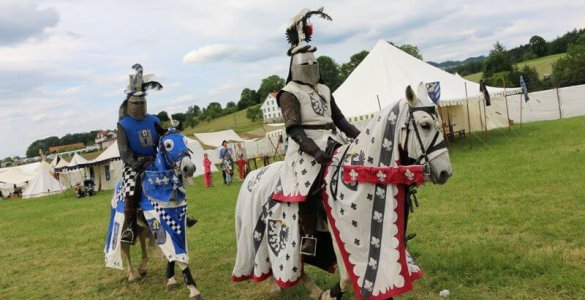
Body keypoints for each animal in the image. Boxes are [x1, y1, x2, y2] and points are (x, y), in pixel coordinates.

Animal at [233, 83, 452, 298]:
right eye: (425, 125)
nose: (445, 172)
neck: (361, 172)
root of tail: (253, 175)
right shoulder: (339, 230)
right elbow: (347, 277)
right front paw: (330, 295)